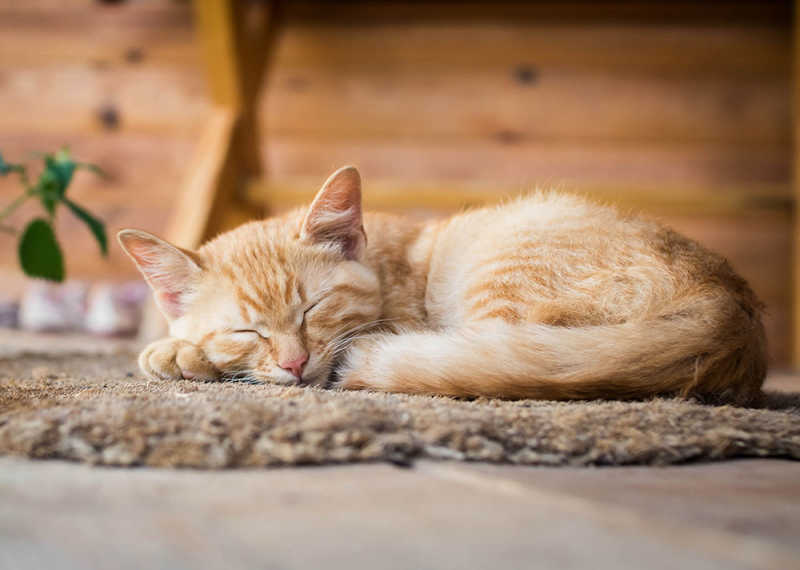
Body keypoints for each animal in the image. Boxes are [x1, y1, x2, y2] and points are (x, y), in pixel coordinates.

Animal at [120, 164, 768, 404]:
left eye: (314, 308)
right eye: (246, 331)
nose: (295, 364)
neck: (386, 262)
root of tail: (728, 304)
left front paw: (182, 354)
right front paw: (176, 350)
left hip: (503, 275)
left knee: (484, 362)